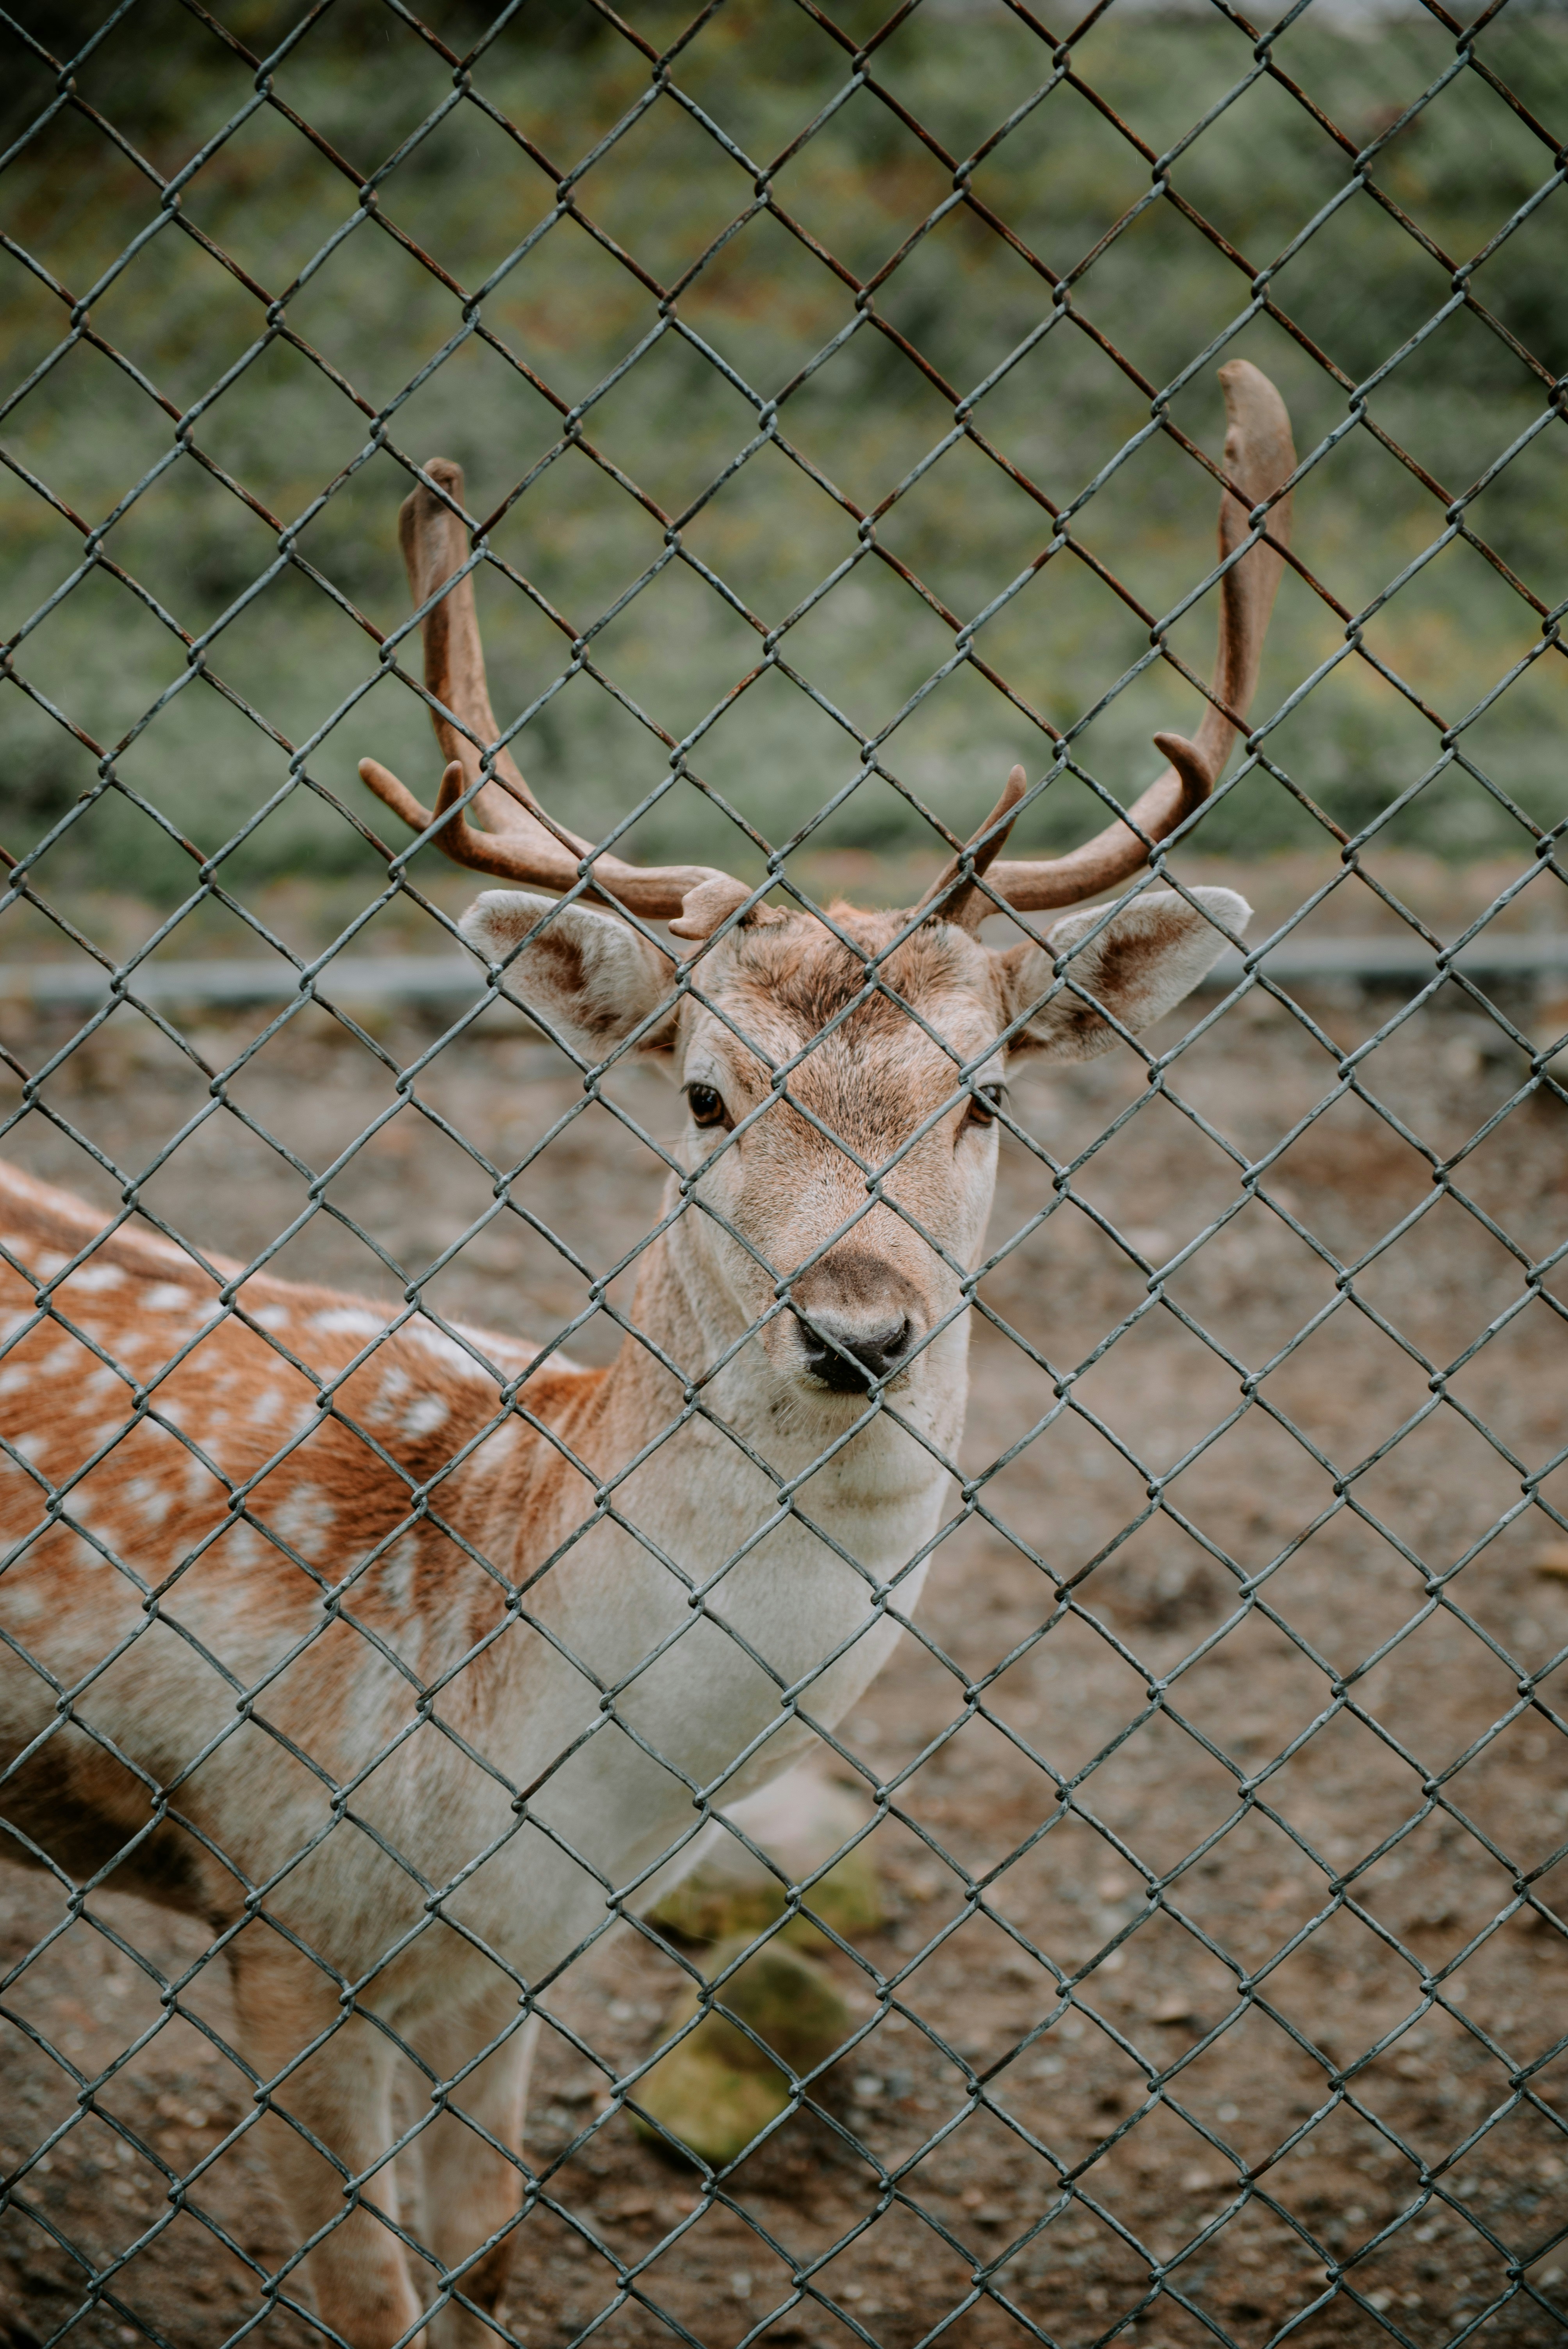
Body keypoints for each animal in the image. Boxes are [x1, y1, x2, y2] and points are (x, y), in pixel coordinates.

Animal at [0, 361, 1292, 2347]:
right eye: (700, 1090)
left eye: (986, 1096)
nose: (856, 1325)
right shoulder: (277, 1901)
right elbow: (369, 2292)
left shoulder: (510, 1958)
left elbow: (481, 2252)